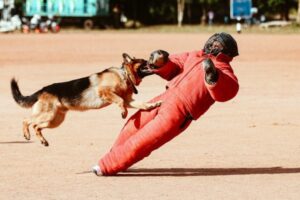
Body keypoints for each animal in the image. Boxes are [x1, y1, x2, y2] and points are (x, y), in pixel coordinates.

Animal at [10, 54, 161, 146]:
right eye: (144, 61)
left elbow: (141, 104)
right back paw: (26, 134)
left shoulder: (129, 101)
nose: (153, 61)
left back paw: (43, 141)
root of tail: (42, 90)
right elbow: (119, 101)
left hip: (55, 120)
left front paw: (153, 105)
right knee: (26, 120)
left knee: (36, 126)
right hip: (48, 114)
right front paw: (123, 113)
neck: (124, 75)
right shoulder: (105, 92)